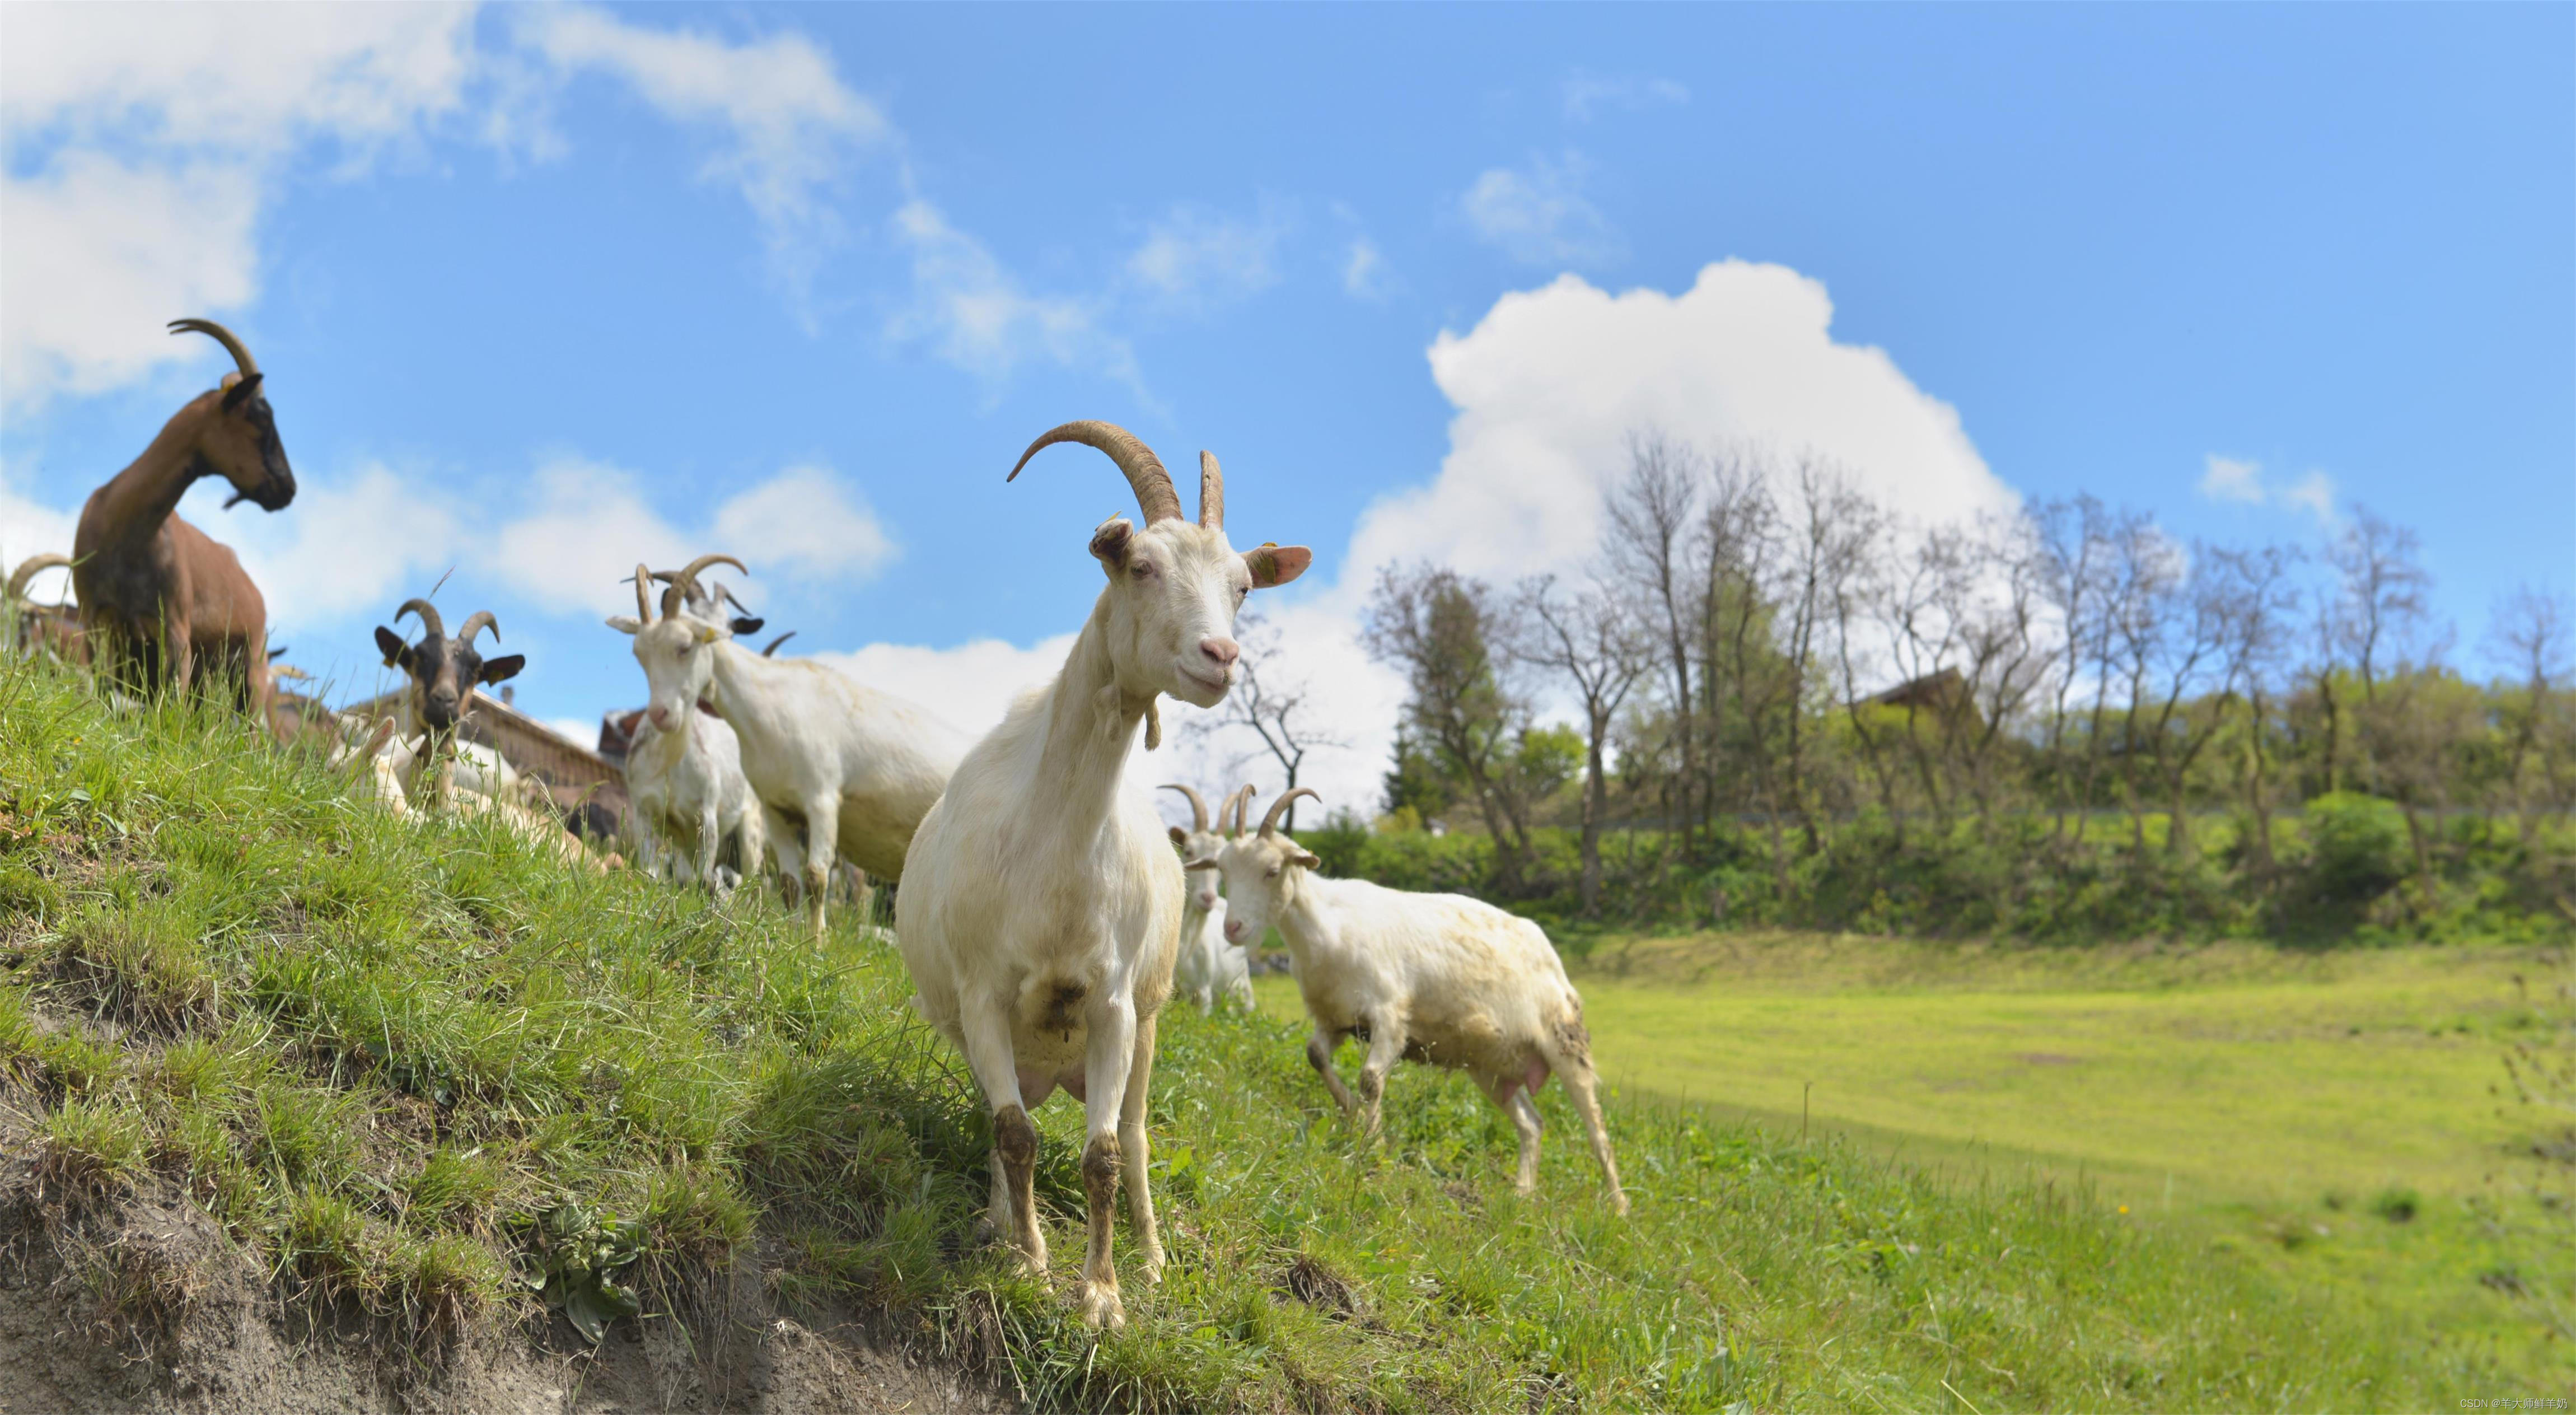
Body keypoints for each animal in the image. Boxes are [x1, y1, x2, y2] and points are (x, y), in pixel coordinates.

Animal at [72, 324, 296, 711]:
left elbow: (169, 708)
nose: (288, 487)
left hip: (253, 669)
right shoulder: (96, 621)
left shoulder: (176, 632)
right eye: (260, 417)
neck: (125, 531)